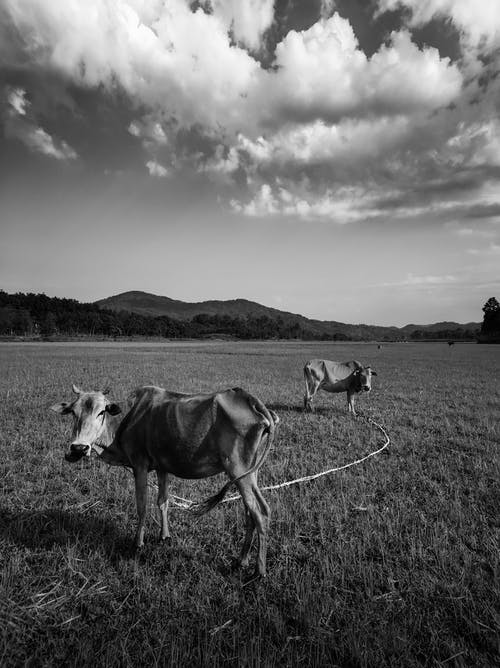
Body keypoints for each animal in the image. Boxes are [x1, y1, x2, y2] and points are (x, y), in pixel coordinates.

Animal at [51, 384, 278, 576]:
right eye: (73, 412)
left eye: (101, 411)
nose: (78, 448)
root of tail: (251, 399)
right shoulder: (162, 467)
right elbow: (163, 501)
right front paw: (165, 536)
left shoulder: (140, 465)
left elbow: (142, 506)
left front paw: (138, 543)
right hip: (249, 473)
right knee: (251, 511)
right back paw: (241, 560)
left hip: (238, 470)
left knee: (259, 512)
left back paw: (259, 571)